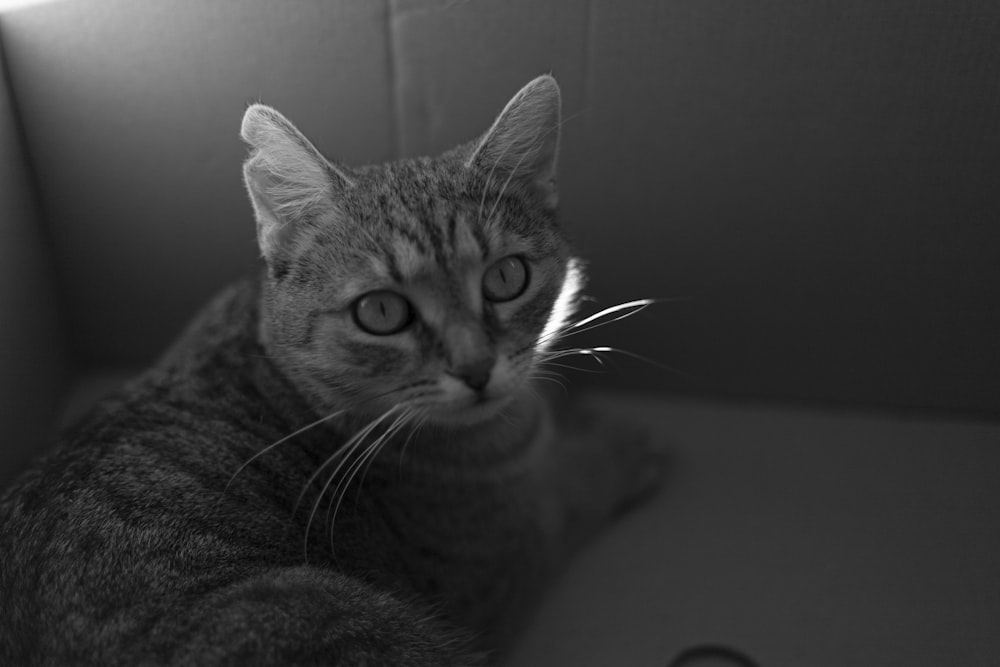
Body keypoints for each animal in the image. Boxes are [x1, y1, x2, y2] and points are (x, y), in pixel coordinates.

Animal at [0, 75, 664, 664]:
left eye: (506, 277)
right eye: (381, 312)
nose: (476, 368)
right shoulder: (506, 570)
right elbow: (570, 491)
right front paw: (622, 448)